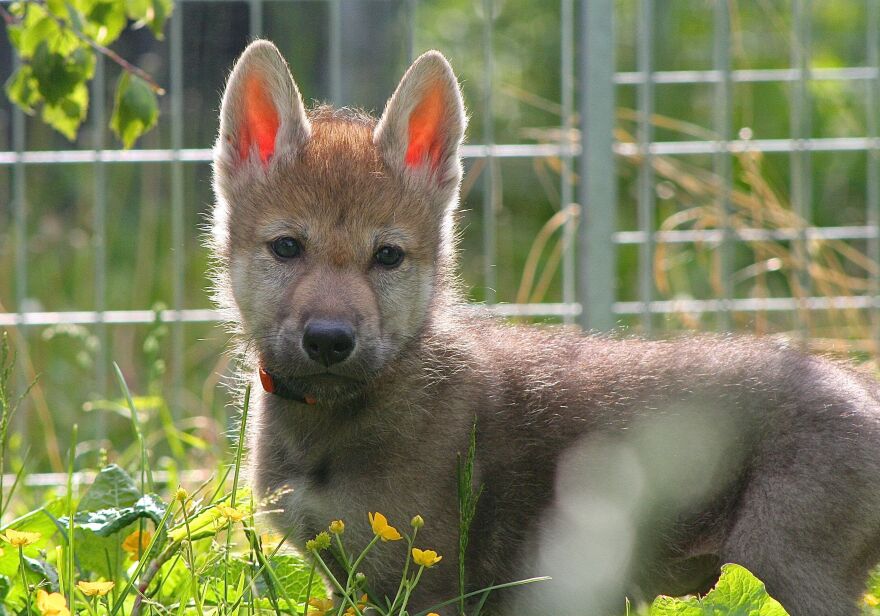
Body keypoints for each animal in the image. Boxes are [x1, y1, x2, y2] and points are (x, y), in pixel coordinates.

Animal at [211, 41, 880, 612]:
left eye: (388, 256)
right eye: (287, 247)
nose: (329, 340)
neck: (330, 425)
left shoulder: (427, 585)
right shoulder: (347, 579)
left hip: (785, 568)